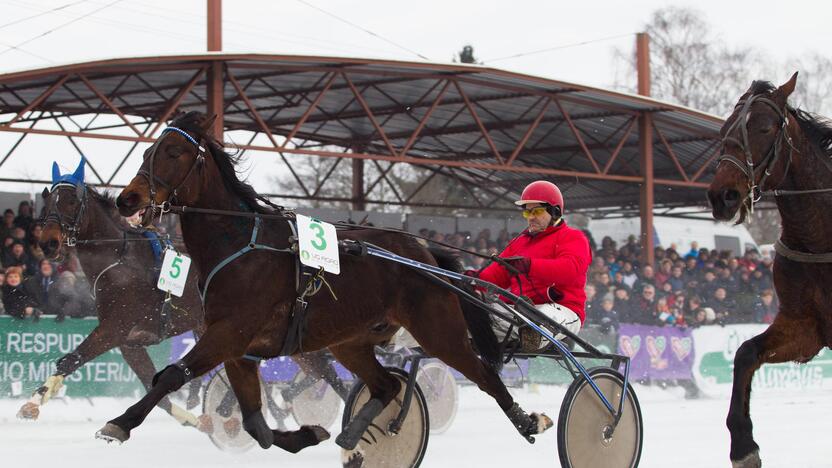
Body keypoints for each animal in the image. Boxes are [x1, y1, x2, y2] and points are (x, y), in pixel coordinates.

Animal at [107, 112, 556, 464]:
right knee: (388, 385)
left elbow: (171, 376)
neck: (239, 245)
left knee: (484, 374)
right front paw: (307, 434)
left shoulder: (228, 334)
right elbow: (255, 425)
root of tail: (424, 252)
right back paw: (354, 437)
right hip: (351, 341)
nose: (126, 200)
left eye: (172, 152)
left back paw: (527, 420)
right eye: (146, 153)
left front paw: (119, 423)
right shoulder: (239, 350)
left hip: (439, 332)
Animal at [708, 71, 832, 466]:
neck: (821, 239)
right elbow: (745, 353)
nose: (723, 196)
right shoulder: (804, 326)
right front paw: (743, 445)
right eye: (725, 130)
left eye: (763, 128)